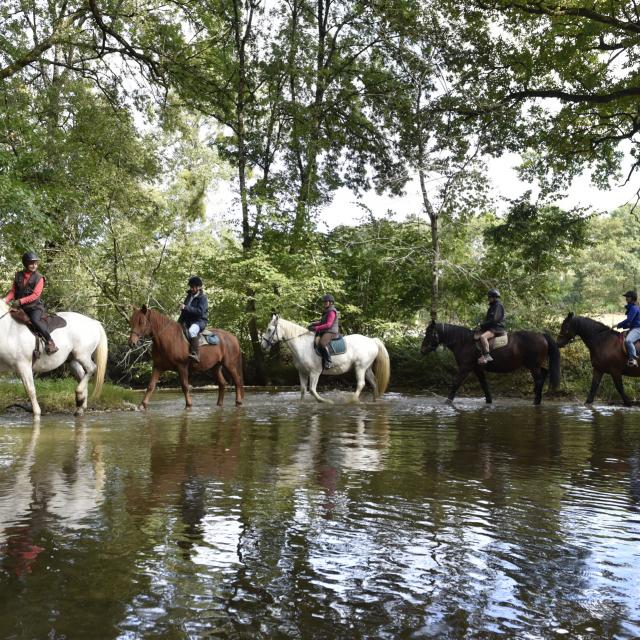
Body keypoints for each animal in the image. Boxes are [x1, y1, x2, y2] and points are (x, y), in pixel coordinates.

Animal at [258, 314, 390, 402]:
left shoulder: (315, 372)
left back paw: (352, 400)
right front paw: (302, 404)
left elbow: (312, 390)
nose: (262, 345)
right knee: (374, 383)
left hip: (360, 367)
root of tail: (372, 340)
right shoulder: (302, 372)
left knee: (361, 384)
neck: (302, 345)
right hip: (366, 368)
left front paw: (326, 402)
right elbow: (303, 390)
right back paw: (374, 400)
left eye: (269, 329)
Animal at [422, 320, 564, 404]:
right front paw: (489, 401)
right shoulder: (477, 368)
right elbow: (484, 385)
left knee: (539, 380)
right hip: (536, 365)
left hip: (533, 366)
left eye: (429, 333)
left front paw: (447, 401)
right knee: (544, 373)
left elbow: (456, 383)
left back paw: (536, 401)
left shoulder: (465, 367)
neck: (464, 342)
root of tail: (541, 335)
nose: (422, 350)